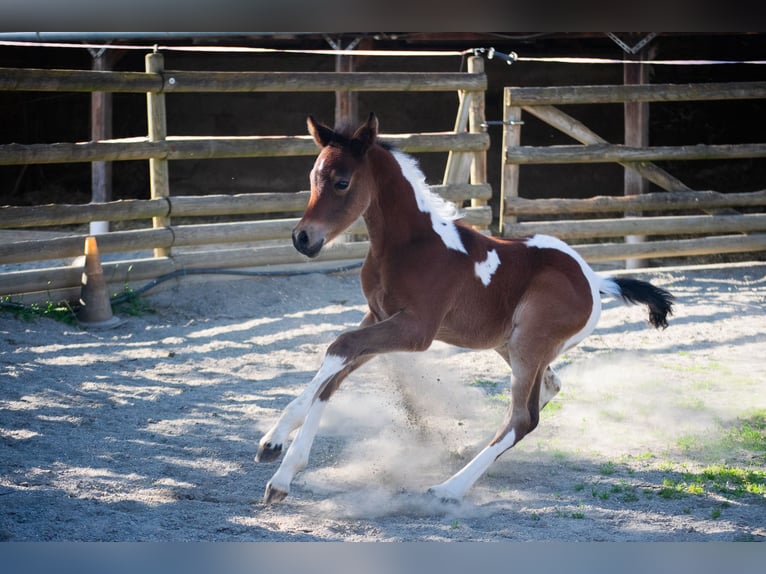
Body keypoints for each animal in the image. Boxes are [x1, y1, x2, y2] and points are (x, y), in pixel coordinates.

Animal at [255, 113, 674, 505]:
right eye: (313, 177)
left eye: (342, 182)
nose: (302, 238)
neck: (412, 245)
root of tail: (594, 279)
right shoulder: (379, 316)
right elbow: (334, 375)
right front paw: (276, 449)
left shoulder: (416, 331)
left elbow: (339, 348)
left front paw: (280, 461)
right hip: (511, 346)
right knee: (548, 389)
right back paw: (466, 456)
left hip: (528, 345)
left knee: (523, 418)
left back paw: (448, 489)